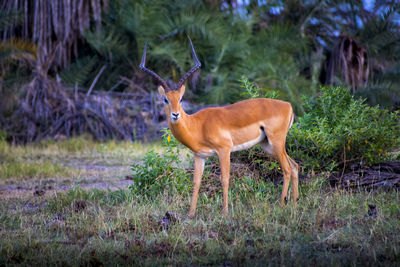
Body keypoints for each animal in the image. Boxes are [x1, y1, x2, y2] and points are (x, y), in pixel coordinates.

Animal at [139, 37, 298, 218]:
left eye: (180, 99)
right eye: (165, 99)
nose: (175, 114)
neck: (198, 125)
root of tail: (288, 105)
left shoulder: (224, 150)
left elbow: (224, 179)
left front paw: (225, 212)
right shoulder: (199, 156)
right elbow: (196, 182)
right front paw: (190, 214)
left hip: (276, 142)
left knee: (286, 168)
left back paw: (281, 205)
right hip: (268, 146)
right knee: (294, 166)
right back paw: (294, 204)